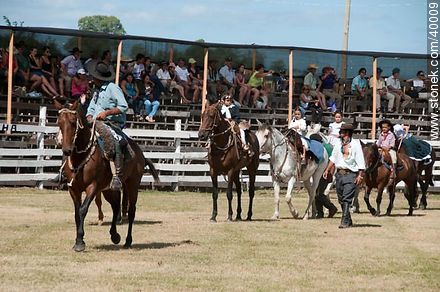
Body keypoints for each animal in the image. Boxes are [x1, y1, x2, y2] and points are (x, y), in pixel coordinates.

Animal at [54, 98, 159, 251]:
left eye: (73, 122)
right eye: (59, 122)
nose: (66, 150)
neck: (81, 156)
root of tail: (140, 153)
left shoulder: (93, 187)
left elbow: (83, 210)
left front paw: (80, 242)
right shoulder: (73, 189)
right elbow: (77, 213)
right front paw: (78, 240)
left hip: (132, 184)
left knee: (131, 211)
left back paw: (128, 241)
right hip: (109, 189)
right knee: (115, 207)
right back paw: (114, 235)